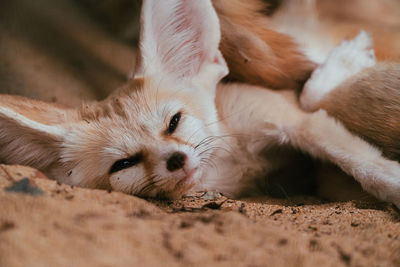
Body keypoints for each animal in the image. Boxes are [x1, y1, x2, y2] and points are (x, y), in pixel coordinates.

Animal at [0, 0, 400, 208]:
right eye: (123, 163)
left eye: (173, 122)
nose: (176, 159)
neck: (236, 164)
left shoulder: (283, 115)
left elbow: (362, 162)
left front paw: (392, 183)